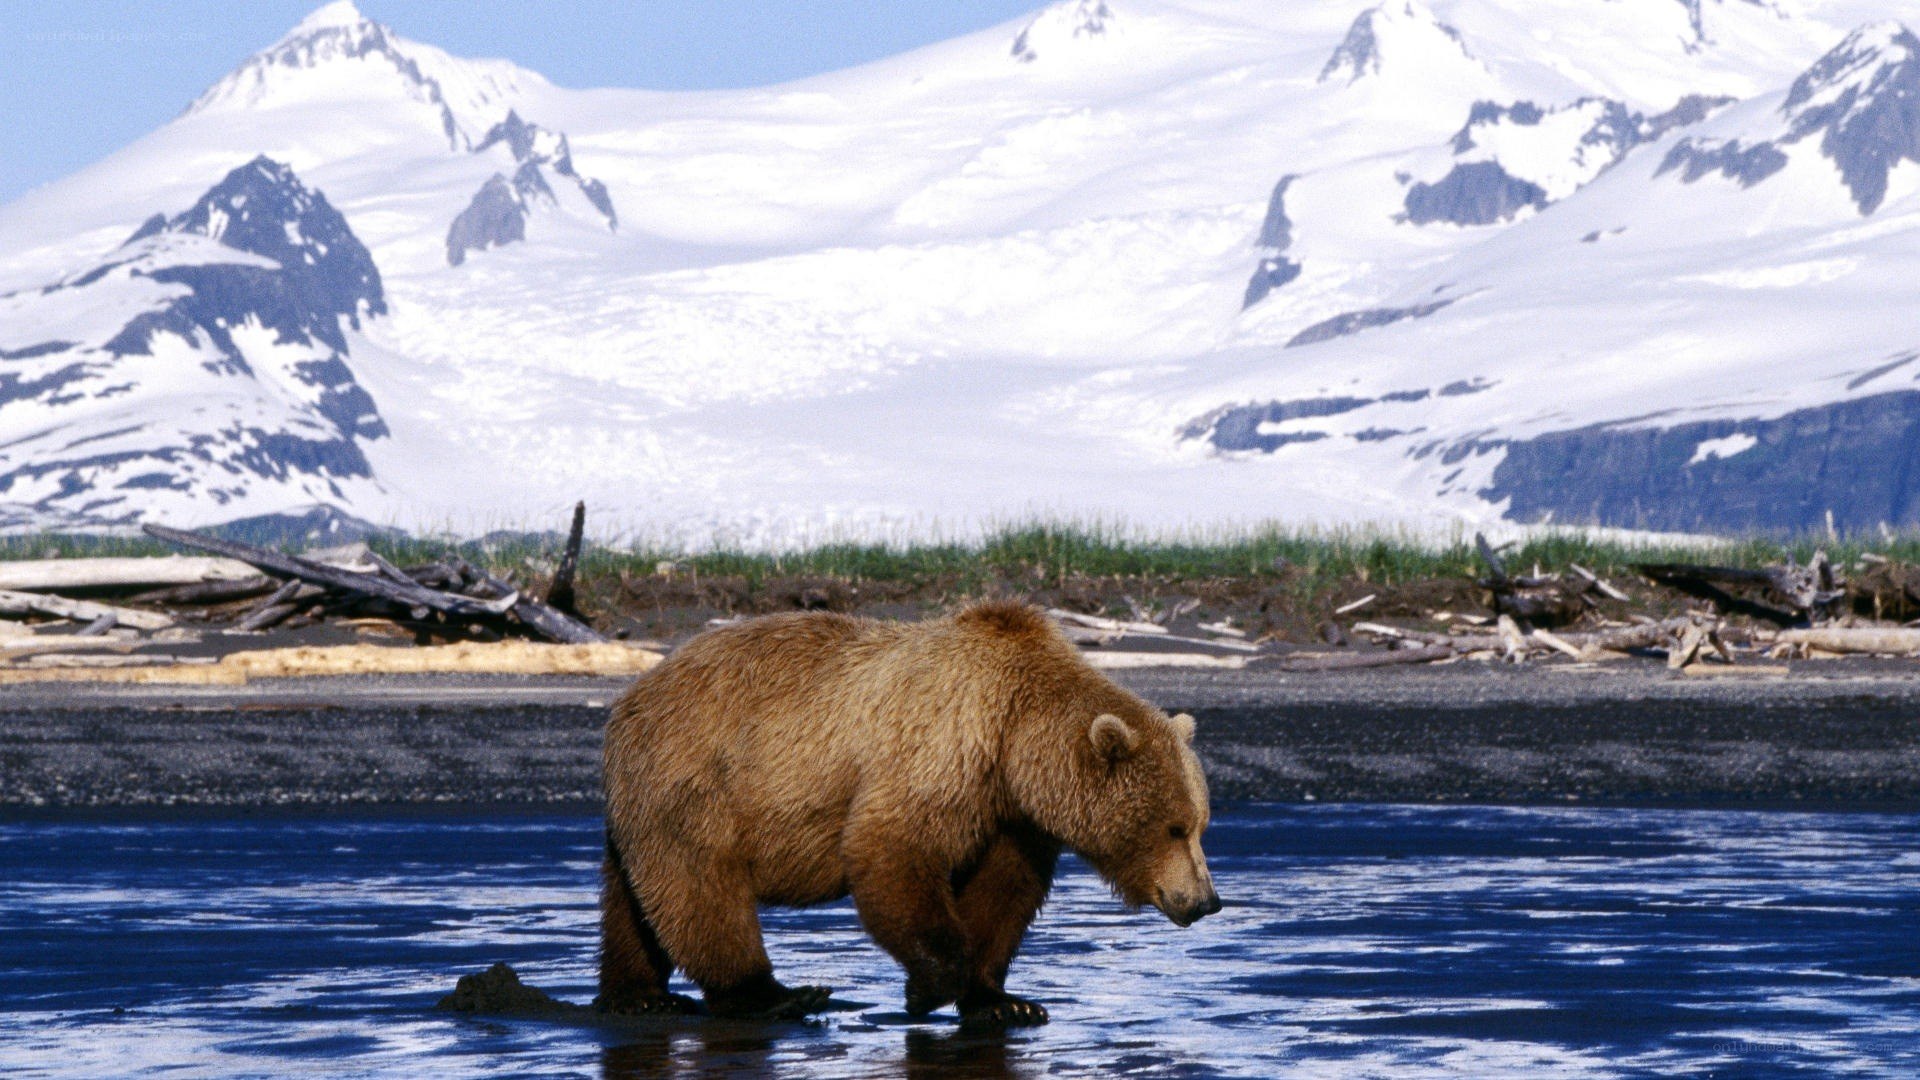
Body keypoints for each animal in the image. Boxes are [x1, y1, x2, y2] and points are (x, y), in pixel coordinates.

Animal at [596, 599, 1219, 1027]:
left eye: (1200, 824)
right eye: (1173, 827)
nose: (1206, 900)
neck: (1015, 737)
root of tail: (630, 696)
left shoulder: (1012, 815)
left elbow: (1003, 893)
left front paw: (1004, 1002)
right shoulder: (945, 745)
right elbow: (891, 846)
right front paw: (928, 988)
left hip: (647, 798)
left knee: (635, 898)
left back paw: (639, 994)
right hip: (697, 778)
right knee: (701, 887)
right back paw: (773, 994)